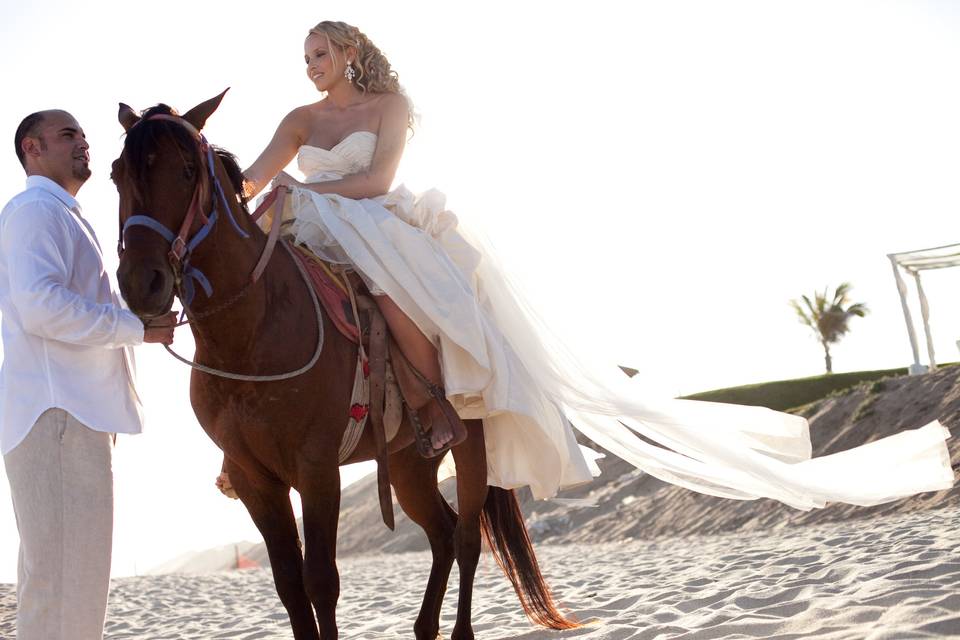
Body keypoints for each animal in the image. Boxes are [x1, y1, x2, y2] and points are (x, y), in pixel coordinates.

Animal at [110, 91, 576, 640]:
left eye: (186, 171)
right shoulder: (253, 478)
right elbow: (289, 586)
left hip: (470, 445)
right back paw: (424, 627)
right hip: (408, 463)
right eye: (116, 174)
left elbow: (321, 582)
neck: (252, 330)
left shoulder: (316, 469)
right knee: (441, 533)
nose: (142, 284)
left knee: (465, 537)